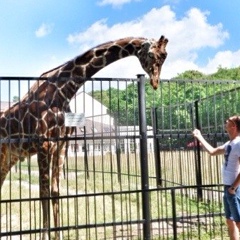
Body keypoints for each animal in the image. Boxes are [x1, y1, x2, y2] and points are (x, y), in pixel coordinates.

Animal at [0, 35, 168, 238]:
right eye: (151, 54)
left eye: (165, 56)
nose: (155, 82)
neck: (63, 92)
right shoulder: (44, 143)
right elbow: (43, 192)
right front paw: (45, 235)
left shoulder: (61, 144)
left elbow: (55, 191)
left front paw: (59, 235)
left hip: (9, 158)